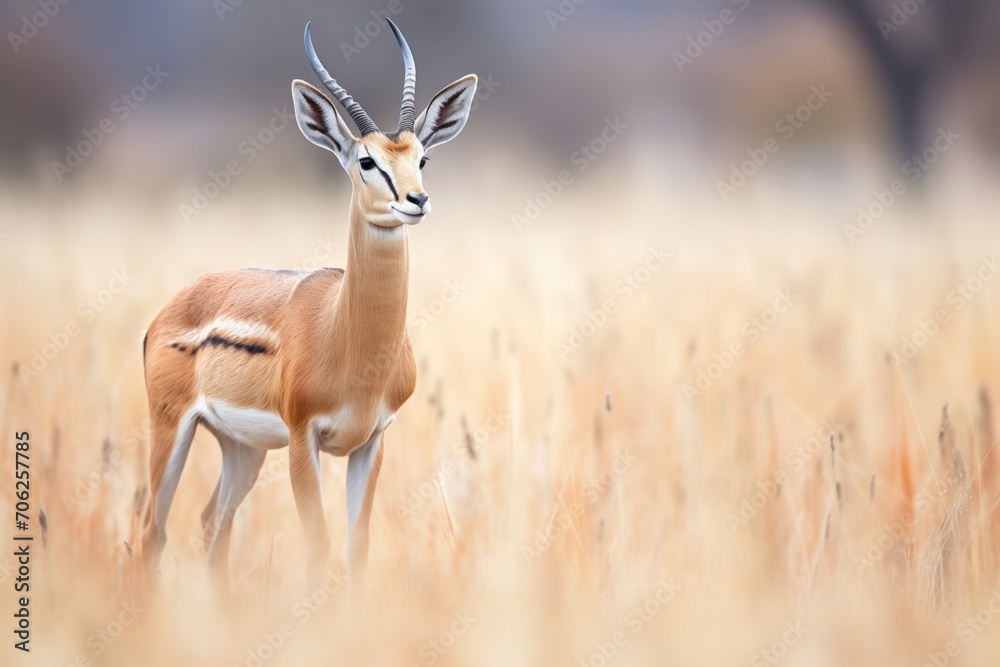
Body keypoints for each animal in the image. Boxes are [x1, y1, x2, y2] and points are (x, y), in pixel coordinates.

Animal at [140, 19, 477, 586]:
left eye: (422, 157)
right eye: (366, 160)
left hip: (242, 448)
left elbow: (357, 548)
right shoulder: (304, 440)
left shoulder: (371, 441)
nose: (416, 200)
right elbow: (319, 548)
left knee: (212, 522)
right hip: (172, 429)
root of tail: (165, 312)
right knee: (152, 531)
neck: (345, 334)